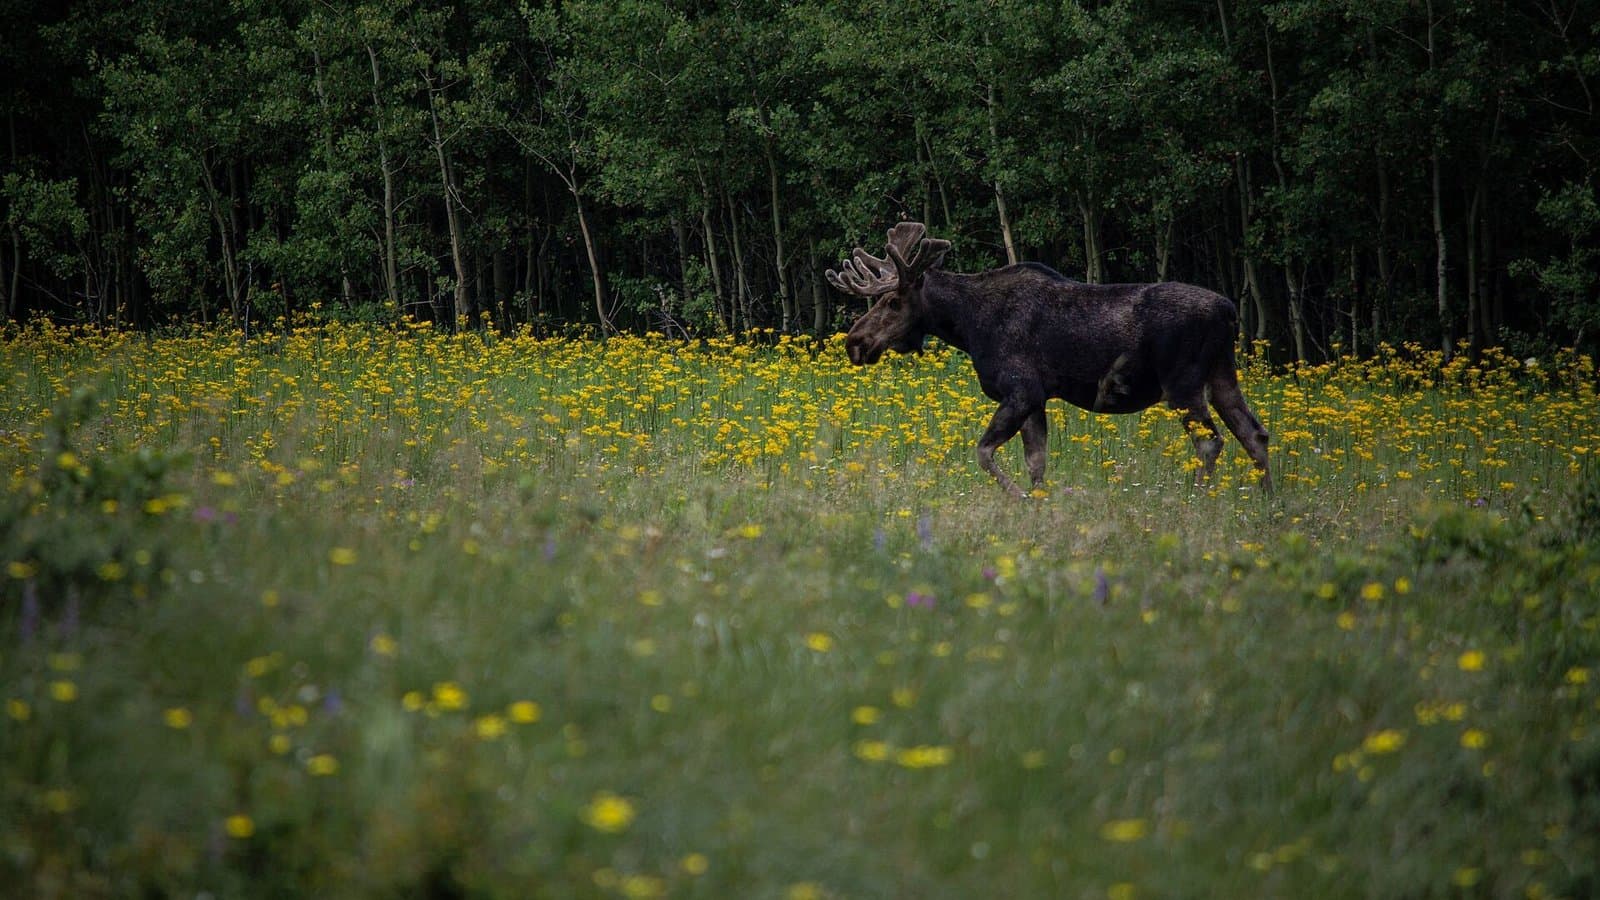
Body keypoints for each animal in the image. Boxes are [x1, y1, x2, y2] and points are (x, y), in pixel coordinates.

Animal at [826, 222, 1271, 498]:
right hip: (1222, 376)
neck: (967, 327)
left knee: (1210, 442)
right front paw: (1038, 504)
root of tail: (1229, 312)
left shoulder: (1020, 389)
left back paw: (1196, 499)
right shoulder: (1037, 398)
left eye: (892, 301)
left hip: (1182, 383)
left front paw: (1019, 498)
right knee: (1254, 434)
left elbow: (984, 453)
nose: (855, 342)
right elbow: (1037, 463)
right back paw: (1268, 503)